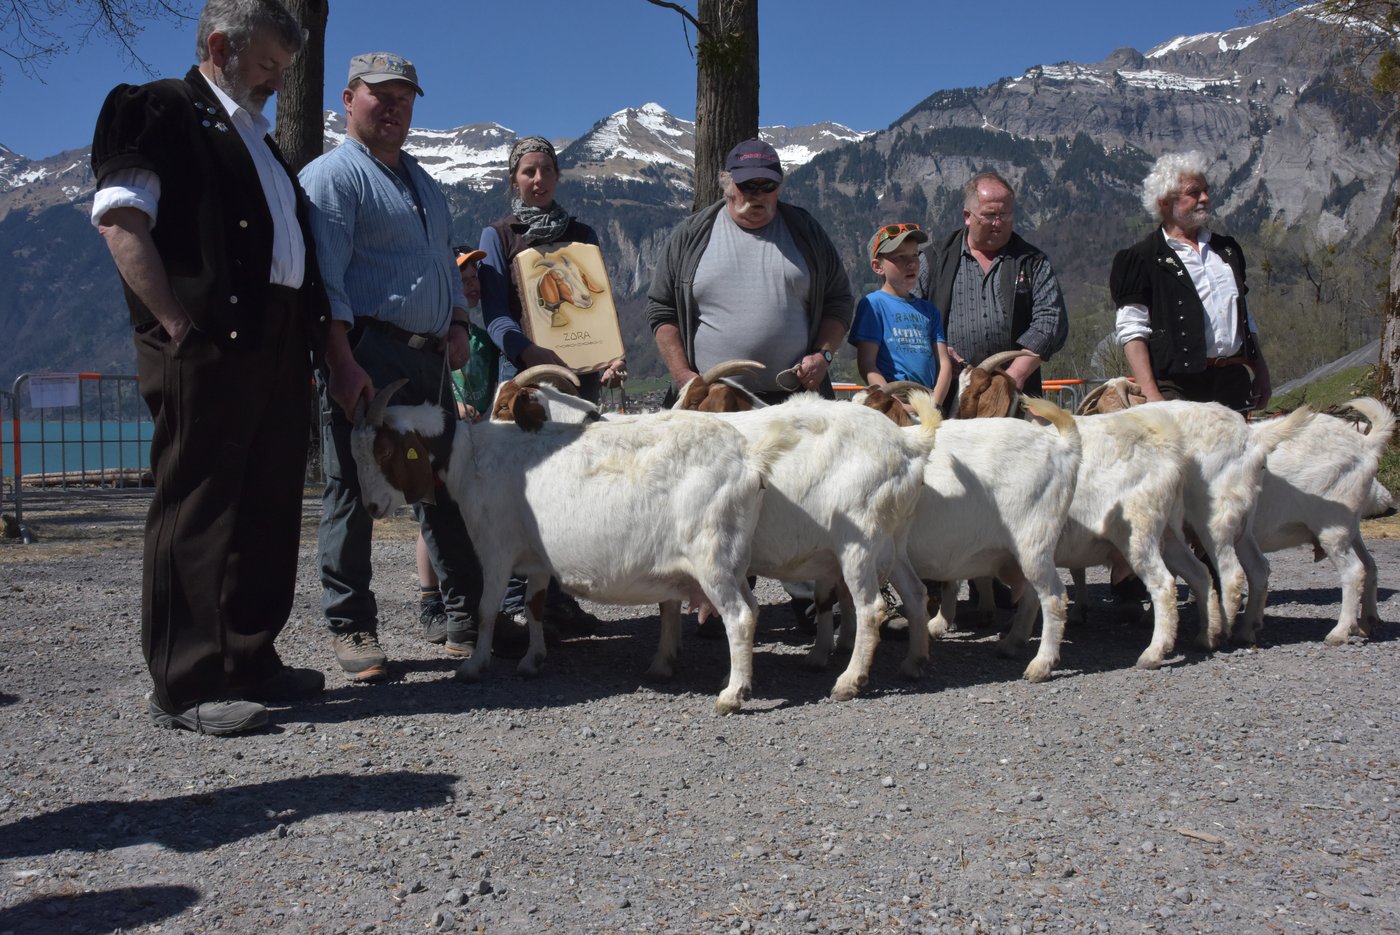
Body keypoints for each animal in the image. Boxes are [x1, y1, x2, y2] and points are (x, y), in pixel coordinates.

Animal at [351, 379, 789, 714]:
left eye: (385, 451)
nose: (371, 507)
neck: (471, 457)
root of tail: (750, 466)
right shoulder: (537, 559)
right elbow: (534, 605)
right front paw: (532, 661)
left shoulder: (496, 549)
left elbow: (487, 609)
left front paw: (474, 666)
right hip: (733, 559)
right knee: (752, 608)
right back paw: (734, 678)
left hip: (712, 557)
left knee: (739, 616)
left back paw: (731, 696)